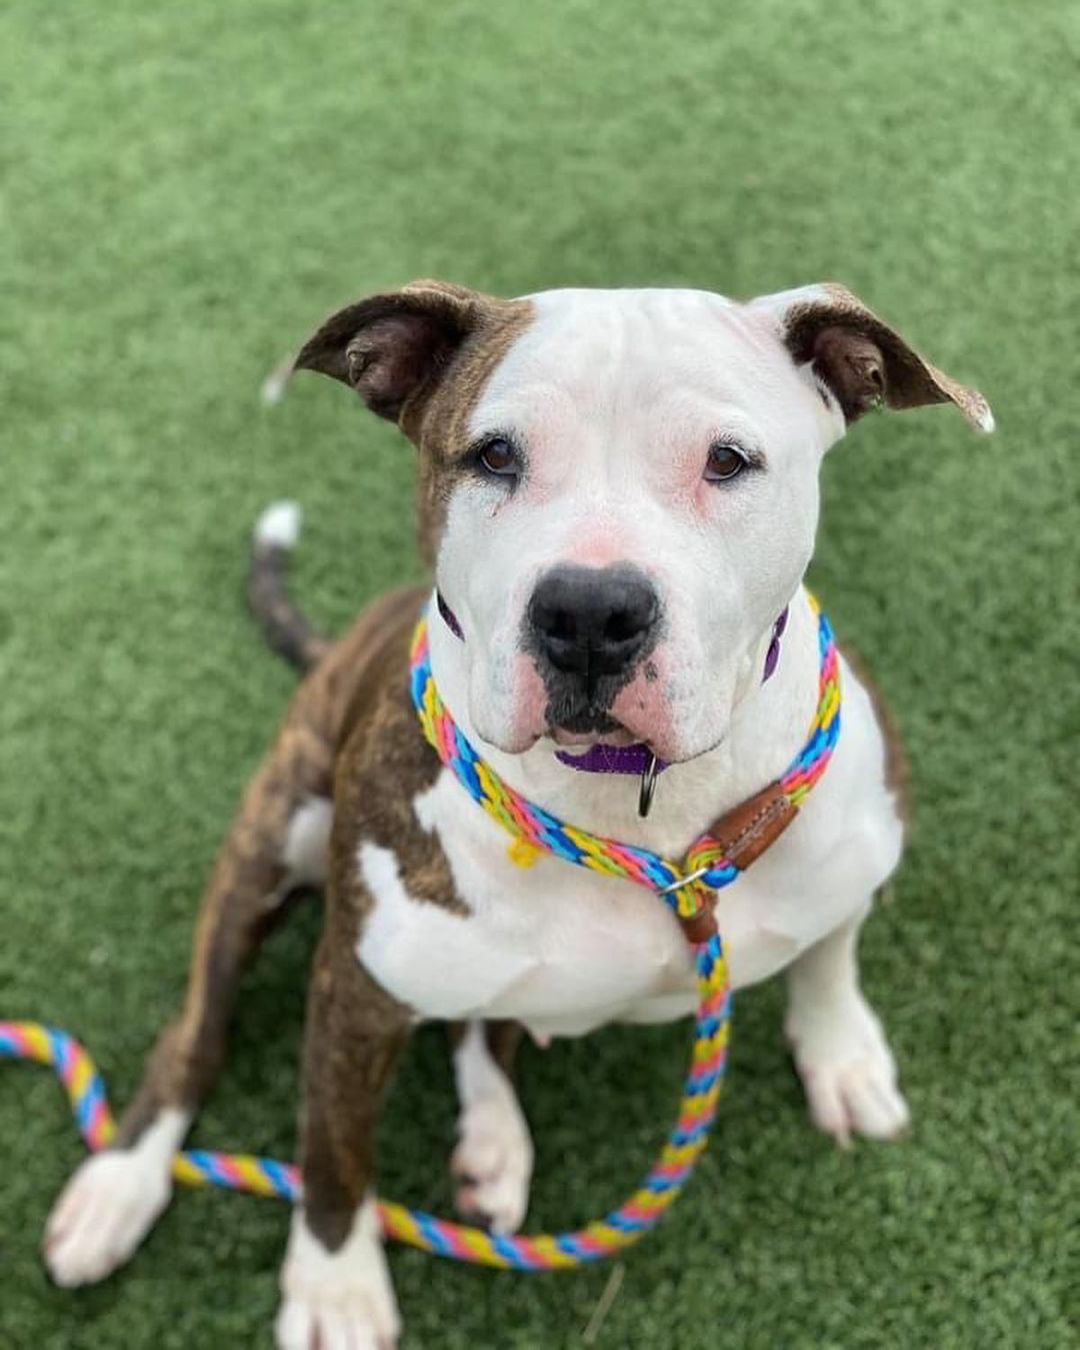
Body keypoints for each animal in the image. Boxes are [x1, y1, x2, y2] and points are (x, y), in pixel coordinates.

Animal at [42, 279, 993, 1344]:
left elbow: (829, 954)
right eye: (494, 455)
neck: (638, 802)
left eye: (728, 461)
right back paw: (120, 1187)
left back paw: (494, 1140)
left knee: (480, 1028)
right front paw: (334, 1287)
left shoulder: (851, 855)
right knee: (197, 1039)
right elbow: (333, 1153)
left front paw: (842, 1056)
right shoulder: (354, 993)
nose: (589, 613)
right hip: (274, 834)